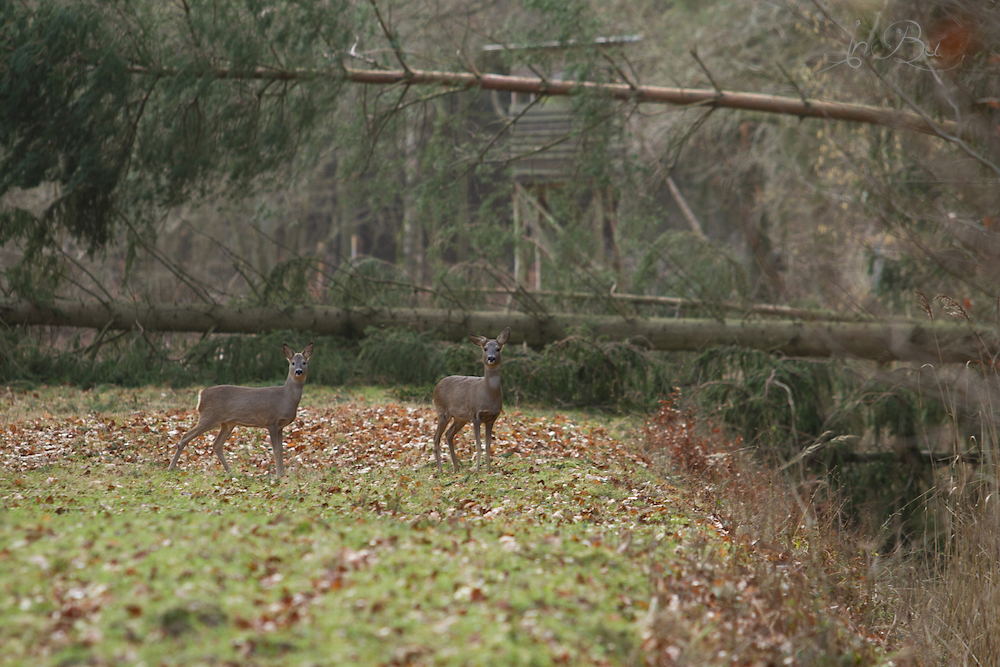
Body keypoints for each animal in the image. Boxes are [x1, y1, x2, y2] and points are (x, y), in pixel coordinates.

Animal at [166, 342, 312, 478]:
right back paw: (170, 468)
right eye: (293, 363)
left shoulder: (280, 426)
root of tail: (201, 395)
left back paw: (230, 472)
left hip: (227, 423)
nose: (299, 371)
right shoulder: (271, 421)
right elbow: (276, 450)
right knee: (185, 436)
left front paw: (282, 474)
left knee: (216, 445)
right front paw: (279, 475)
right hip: (209, 417)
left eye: (304, 362)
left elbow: (281, 450)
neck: (285, 398)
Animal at [430, 328, 512, 474]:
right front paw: (478, 469)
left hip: (460, 418)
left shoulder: (492, 418)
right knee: (436, 437)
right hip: (442, 411)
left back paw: (456, 468)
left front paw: (488, 469)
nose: (491, 358)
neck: (488, 394)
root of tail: (437, 385)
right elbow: (478, 444)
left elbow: (488, 444)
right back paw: (440, 469)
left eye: (498, 348)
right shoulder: (475, 415)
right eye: (485, 348)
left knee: (448, 434)